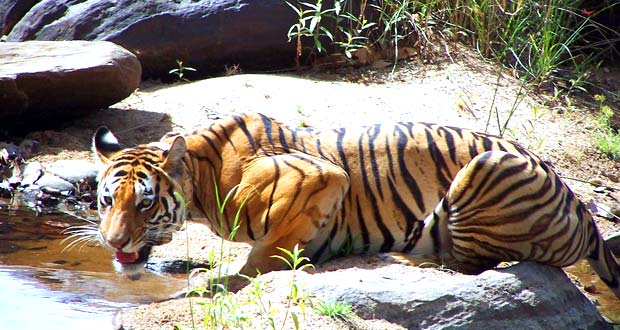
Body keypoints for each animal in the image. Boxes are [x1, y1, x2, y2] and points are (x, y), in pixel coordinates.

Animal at [92, 111, 620, 300]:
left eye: (145, 205)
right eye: (106, 201)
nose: (113, 241)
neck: (202, 182)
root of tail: (584, 209)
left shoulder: (320, 177)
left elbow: (265, 246)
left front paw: (223, 280)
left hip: (487, 167)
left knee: (468, 261)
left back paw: (402, 258)